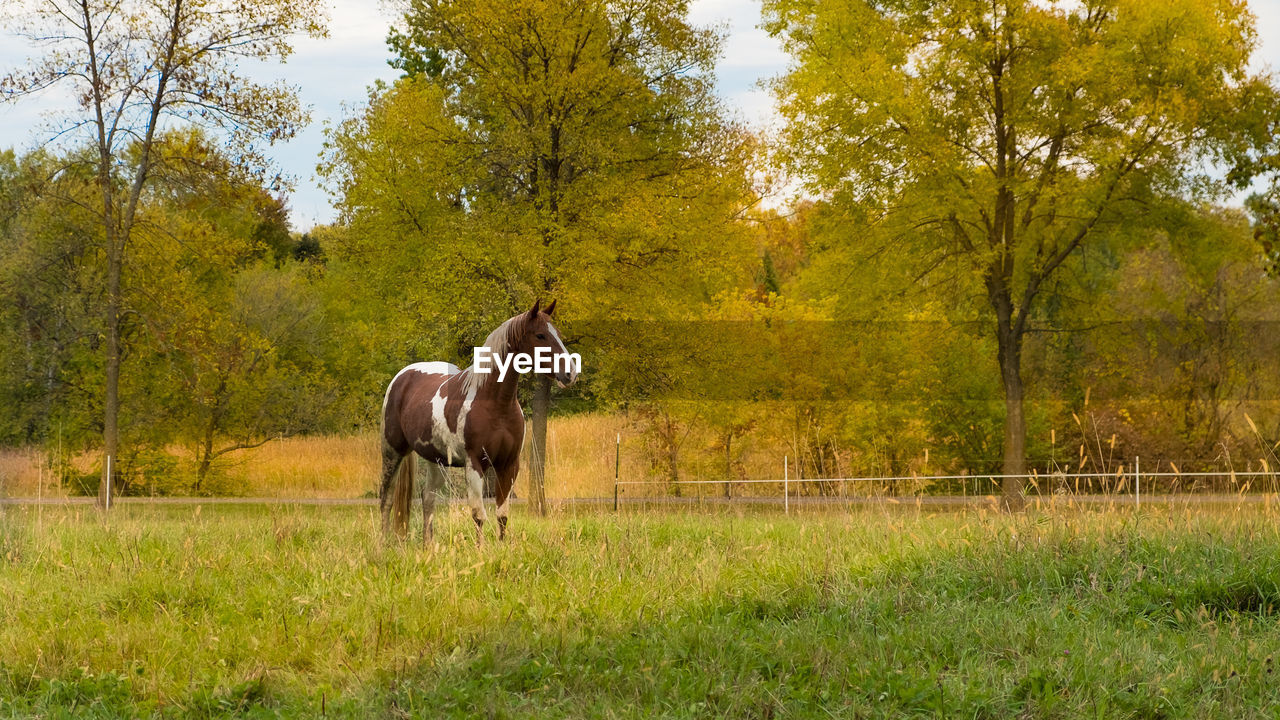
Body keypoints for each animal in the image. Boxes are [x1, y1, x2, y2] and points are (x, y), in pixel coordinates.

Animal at [376, 299, 578, 540]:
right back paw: (382, 545)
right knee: (386, 500)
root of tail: (402, 377)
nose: (570, 373)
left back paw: (428, 547)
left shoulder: (509, 465)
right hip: (392, 451)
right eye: (540, 335)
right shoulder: (474, 464)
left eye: (558, 333)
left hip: (437, 460)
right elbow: (479, 516)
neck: (496, 405)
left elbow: (502, 516)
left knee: (428, 500)